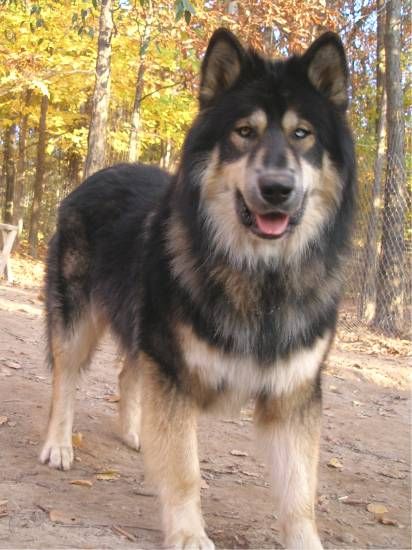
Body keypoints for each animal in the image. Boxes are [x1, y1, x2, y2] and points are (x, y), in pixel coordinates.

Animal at [39, 30, 354, 550]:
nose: (277, 189)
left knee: (128, 373)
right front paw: (188, 534)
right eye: (244, 132)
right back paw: (58, 445)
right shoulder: (175, 374)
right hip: (79, 320)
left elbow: (298, 493)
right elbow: (185, 471)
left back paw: (135, 434)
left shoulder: (293, 396)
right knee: (66, 379)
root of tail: (98, 174)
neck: (259, 275)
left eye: (302, 134)